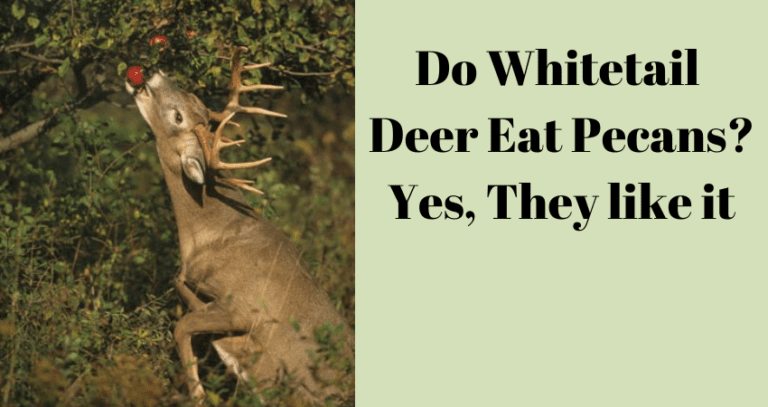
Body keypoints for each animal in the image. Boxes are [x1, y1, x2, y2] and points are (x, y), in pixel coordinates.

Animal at [124, 46, 354, 405]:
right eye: (191, 95)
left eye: (177, 117)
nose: (150, 72)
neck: (206, 236)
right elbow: (179, 289)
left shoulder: (244, 308)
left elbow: (182, 325)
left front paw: (199, 393)